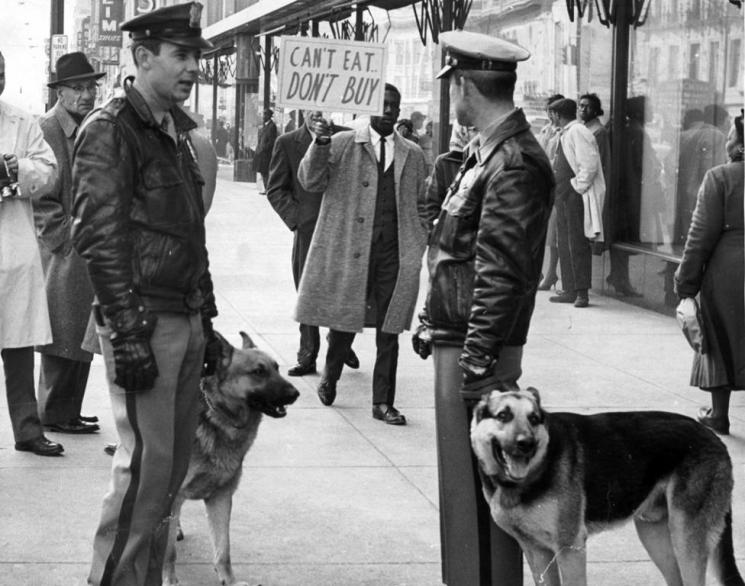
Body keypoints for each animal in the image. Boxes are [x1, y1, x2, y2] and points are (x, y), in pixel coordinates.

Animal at [163, 334, 300, 584]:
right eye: (258, 372)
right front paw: (168, 579)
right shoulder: (176, 494)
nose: (295, 394)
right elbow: (168, 552)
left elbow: (223, 548)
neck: (219, 417)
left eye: (276, 368)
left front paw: (230, 580)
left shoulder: (221, 497)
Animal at [468, 386, 740, 580]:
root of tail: (715, 439)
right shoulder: (537, 552)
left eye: (534, 419)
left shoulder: (570, 549)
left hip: (686, 540)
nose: (527, 444)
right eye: (503, 415)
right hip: (654, 535)